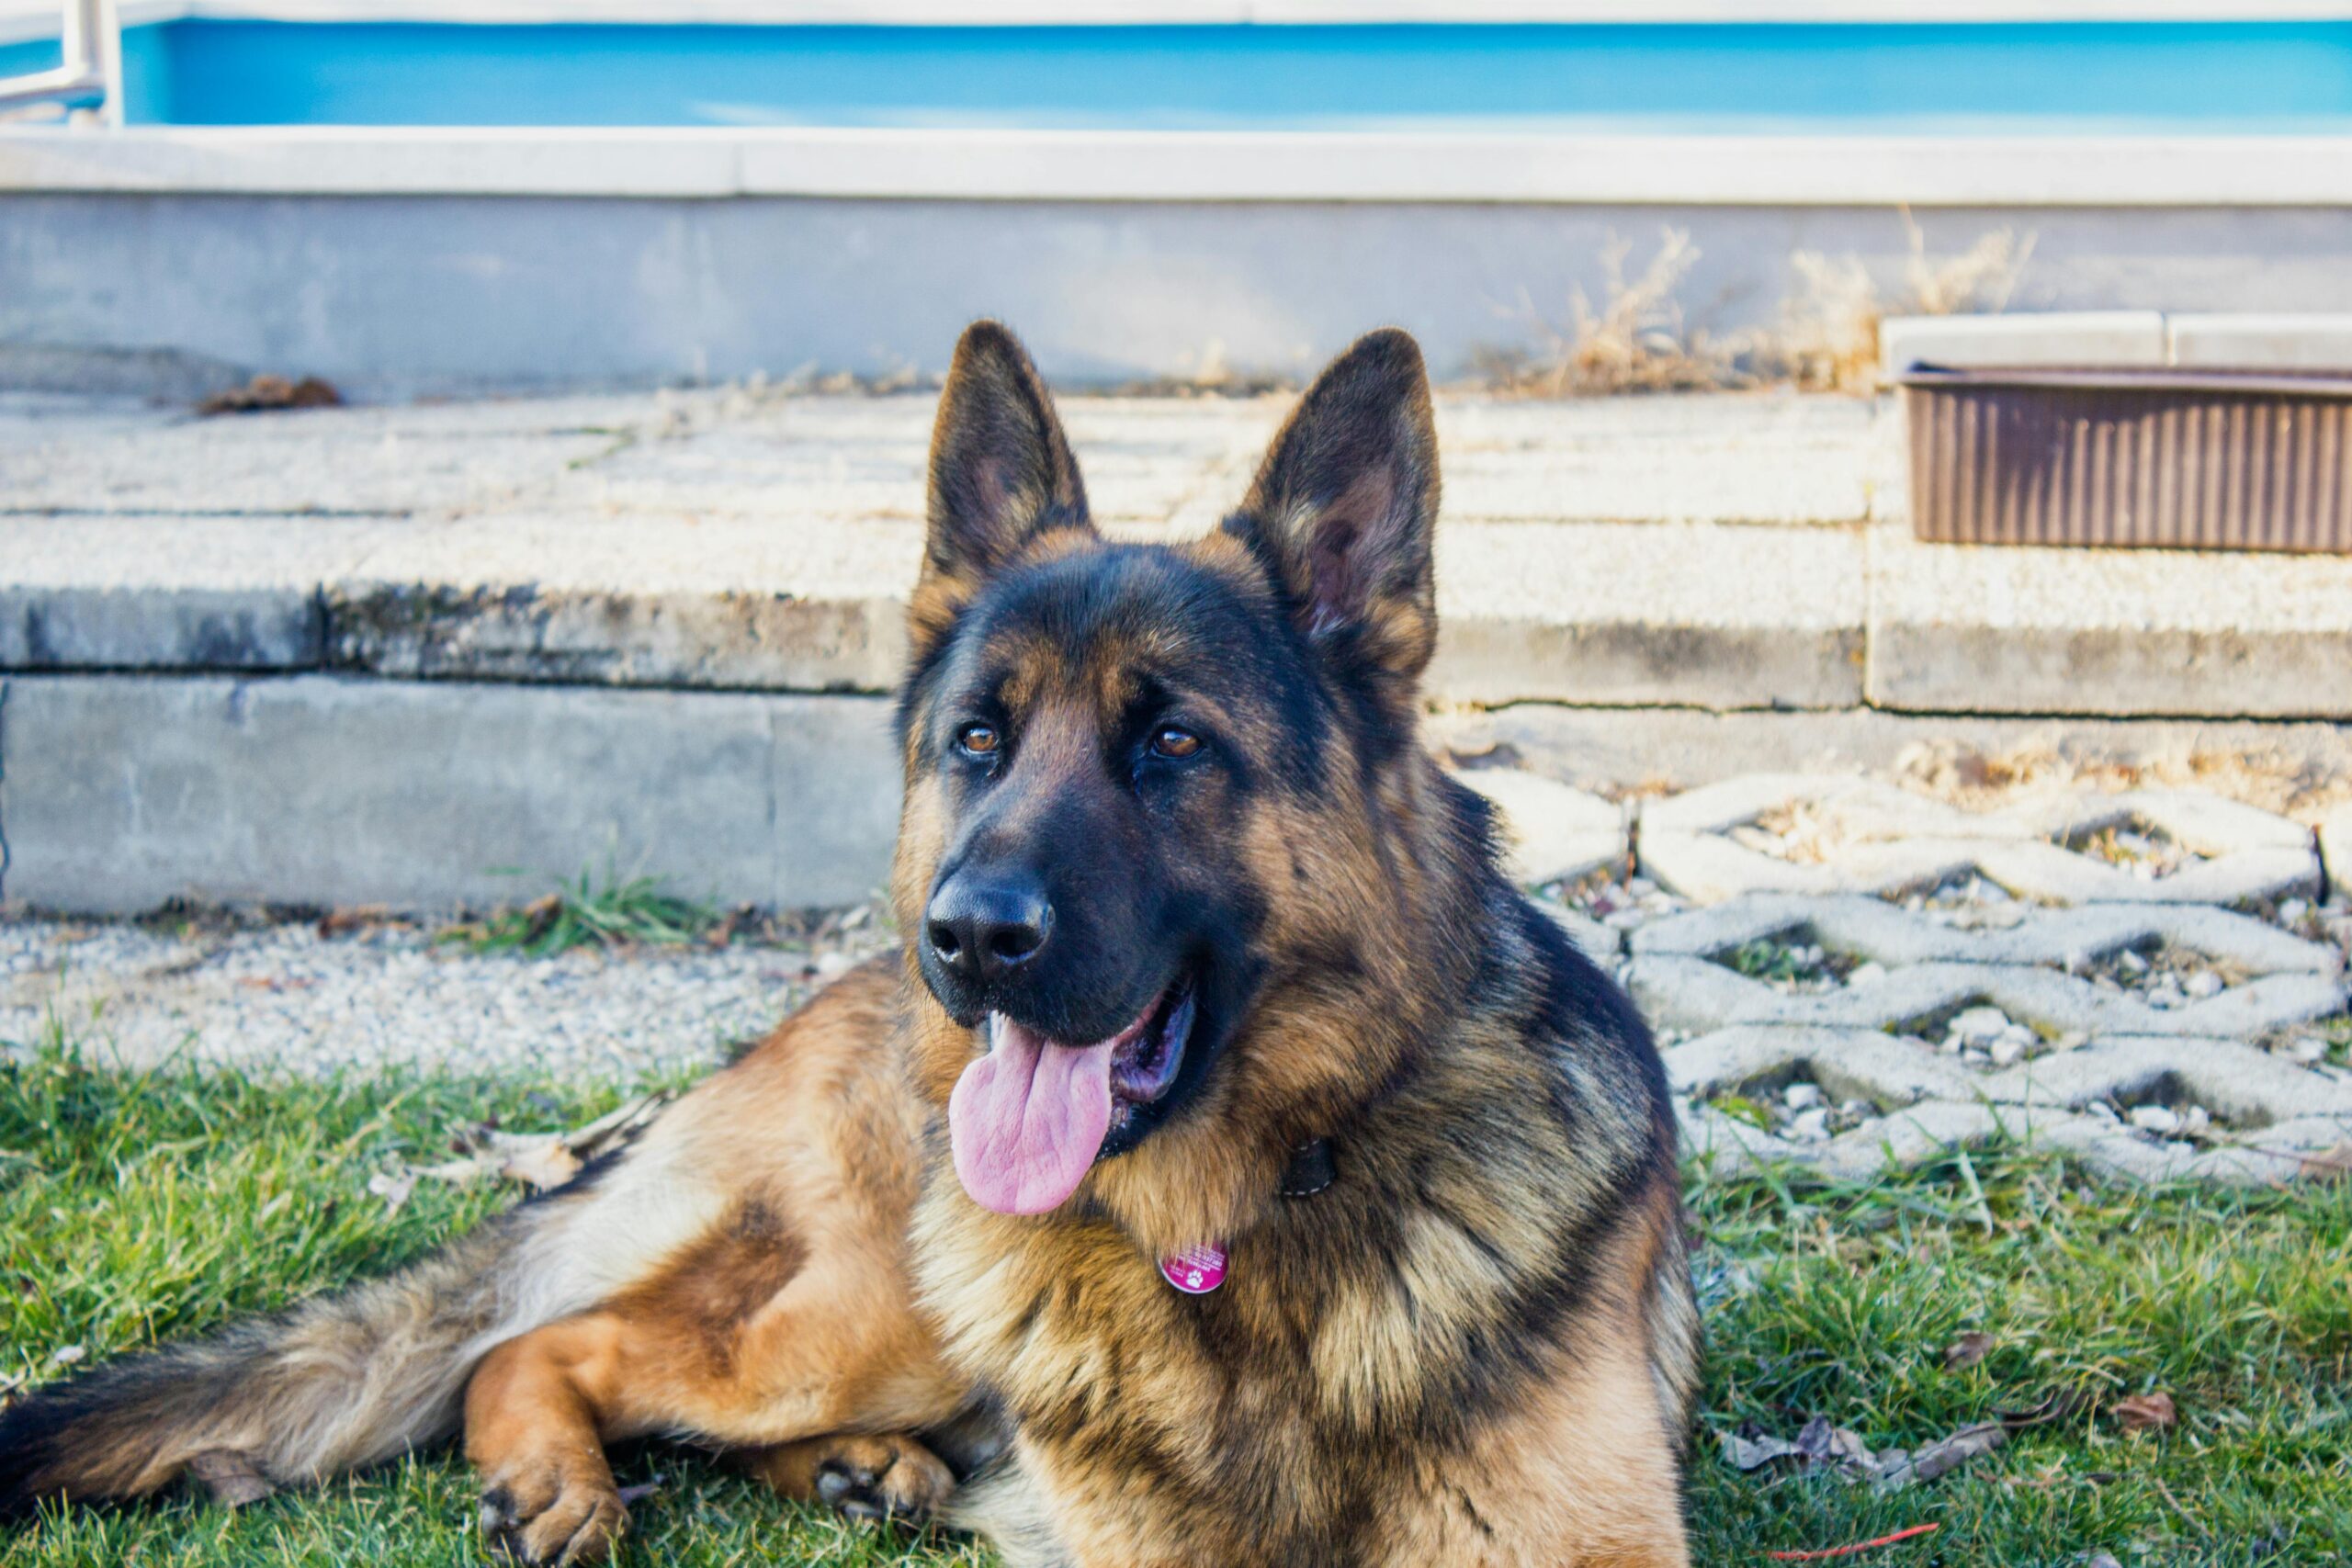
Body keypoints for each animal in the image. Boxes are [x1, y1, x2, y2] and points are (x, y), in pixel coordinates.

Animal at [0, 324, 1702, 1561]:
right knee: (545, 1344)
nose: (970, 935)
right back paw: (573, 1474)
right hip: (875, 1308)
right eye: (977, 740)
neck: (1242, 1219)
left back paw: (862, 1473)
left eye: (1172, 743)